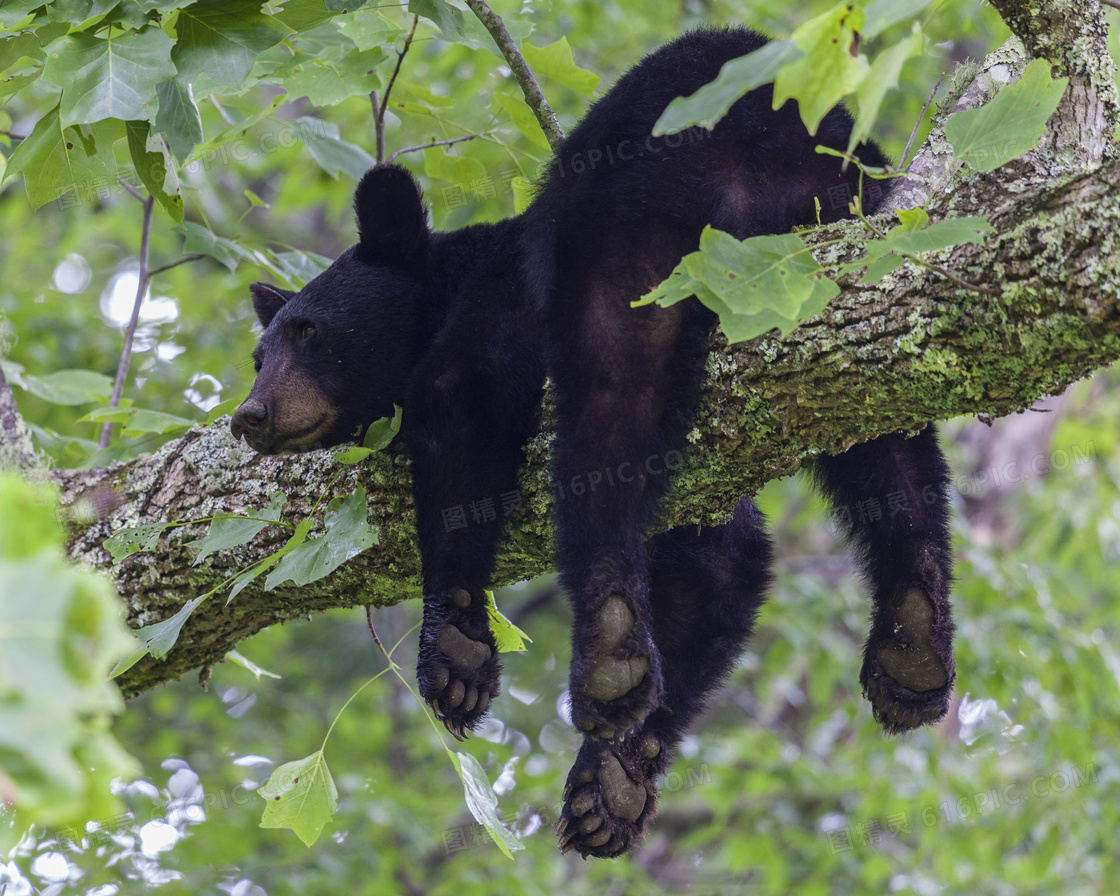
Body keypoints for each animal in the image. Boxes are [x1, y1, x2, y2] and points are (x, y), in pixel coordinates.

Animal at [234, 24, 954, 855]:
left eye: (310, 334)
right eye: (259, 355)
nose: (249, 415)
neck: (449, 277)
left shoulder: (505, 292)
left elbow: (460, 396)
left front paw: (457, 648)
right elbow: (722, 558)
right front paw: (611, 786)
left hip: (638, 220)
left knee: (612, 387)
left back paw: (606, 643)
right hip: (838, 242)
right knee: (880, 417)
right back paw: (912, 637)